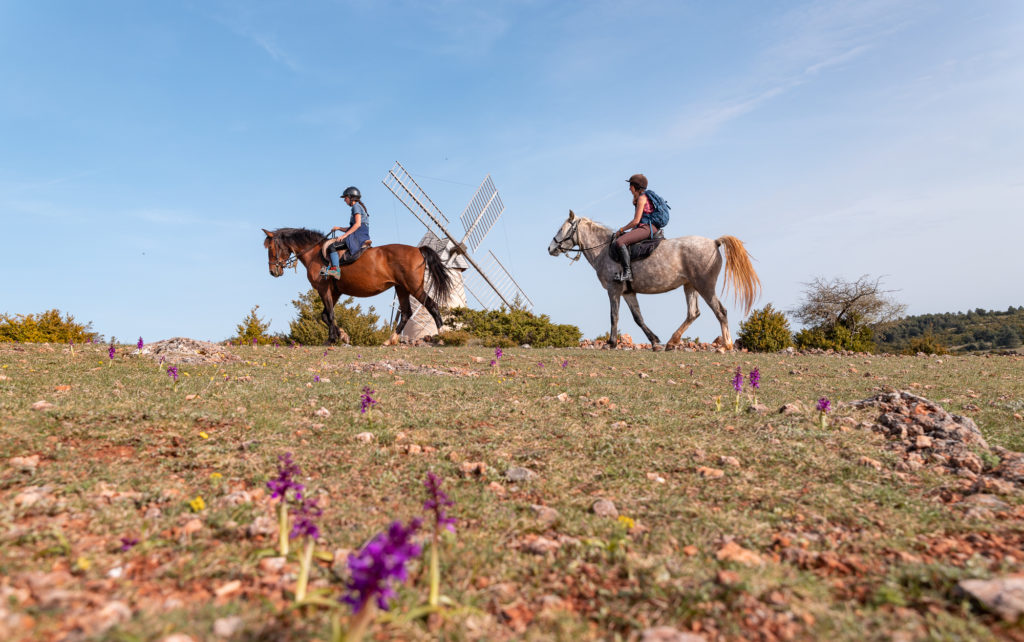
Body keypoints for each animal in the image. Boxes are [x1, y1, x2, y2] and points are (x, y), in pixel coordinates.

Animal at [264, 227, 452, 344]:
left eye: (271, 247)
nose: (273, 271)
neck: (315, 253)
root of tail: (418, 249)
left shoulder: (324, 289)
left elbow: (329, 314)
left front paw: (332, 339)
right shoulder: (335, 291)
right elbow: (325, 315)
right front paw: (342, 336)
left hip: (413, 287)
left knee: (432, 306)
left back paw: (443, 336)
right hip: (401, 288)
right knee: (406, 313)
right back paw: (390, 340)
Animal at [552, 211, 761, 352]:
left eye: (562, 229)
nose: (550, 248)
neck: (604, 250)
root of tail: (714, 242)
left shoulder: (614, 289)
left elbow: (614, 316)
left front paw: (610, 343)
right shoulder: (628, 292)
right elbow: (638, 318)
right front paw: (654, 341)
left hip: (705, 286)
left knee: (720, 311)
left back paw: (725, 346)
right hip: (690, 286)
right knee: (693, 313)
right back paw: (671, 342)